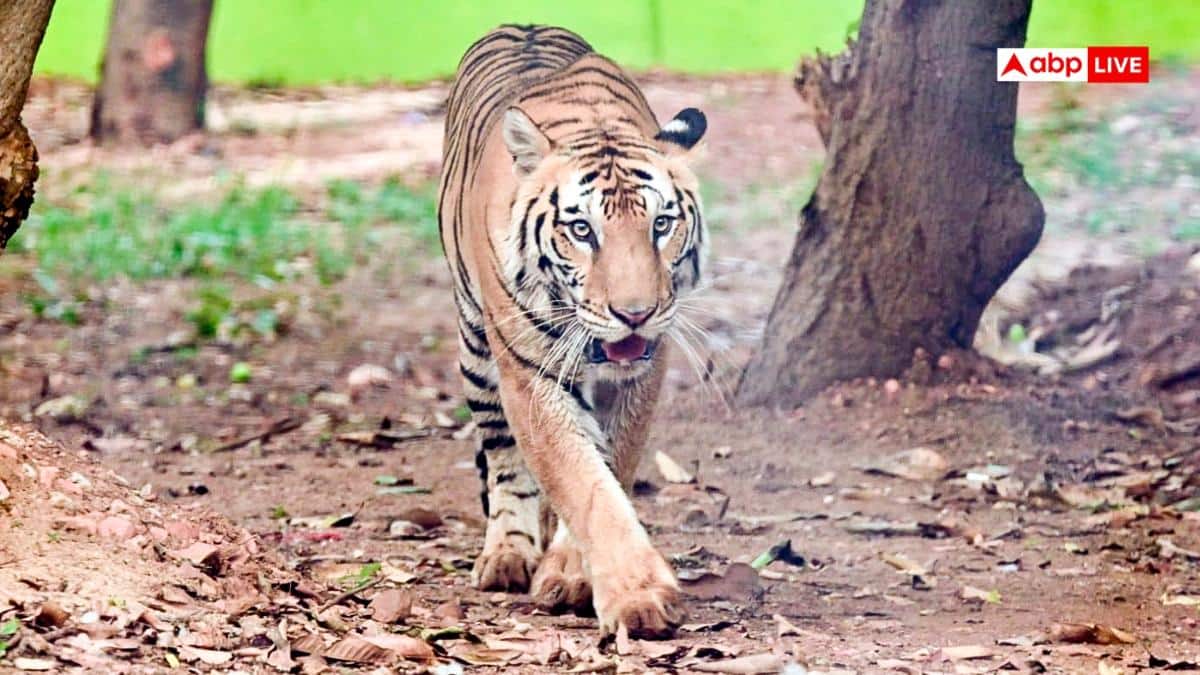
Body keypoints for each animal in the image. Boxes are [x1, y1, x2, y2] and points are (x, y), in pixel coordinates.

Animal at [437, 24, 707, 638]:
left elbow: (610, 467)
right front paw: (638, 597)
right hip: (476, 355)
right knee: (503, 456)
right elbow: (580, 479)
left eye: (661, 224)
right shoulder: (529, 373)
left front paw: (571, 573)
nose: (635, 313)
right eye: (582, 230)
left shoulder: (641, 373)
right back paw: (507, 554)